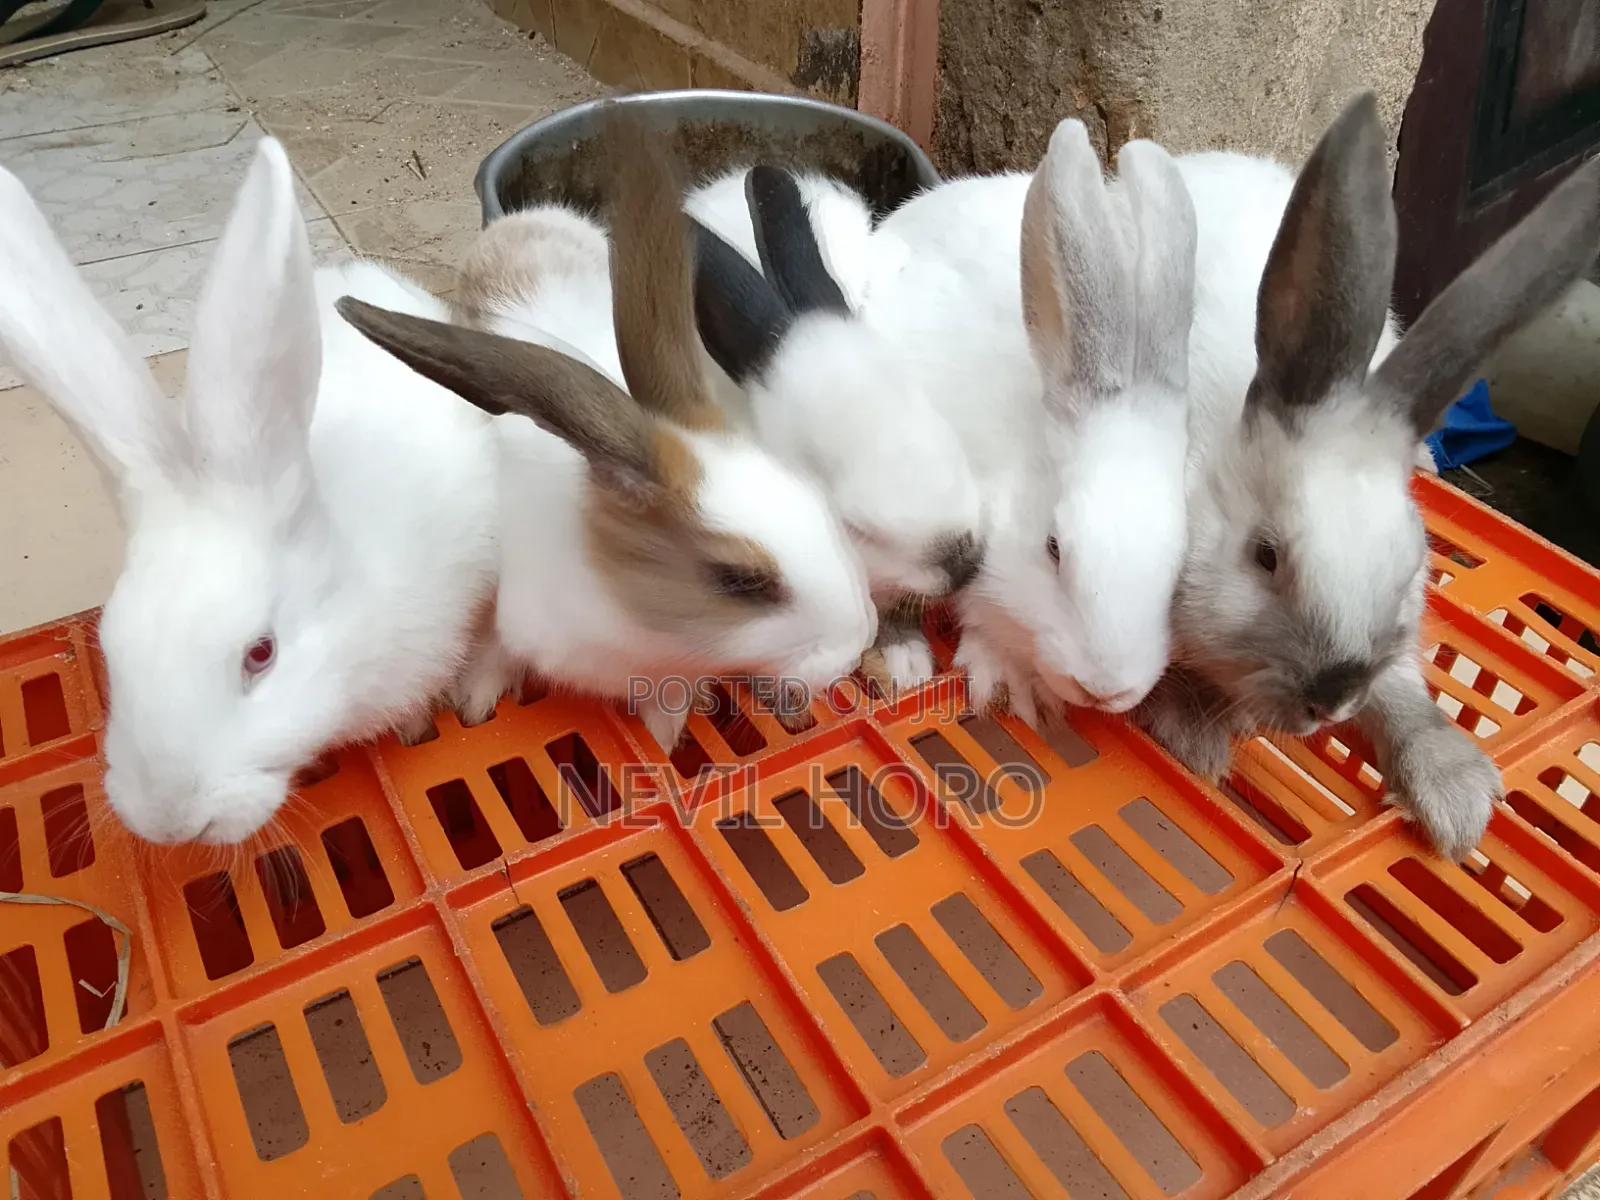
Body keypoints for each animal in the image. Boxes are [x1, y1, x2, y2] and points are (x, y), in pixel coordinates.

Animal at [336, 106, 878, 755]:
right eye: (742, 581)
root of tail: (528, 218)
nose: (854, 650)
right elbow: (493, 652)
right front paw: (475, 709)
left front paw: (667, 746)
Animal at [1135, 91, 1600, 860]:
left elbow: (1405, 696)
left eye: (1409, 571)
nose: (1332, 699)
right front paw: (1196, 734)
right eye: (1265, 557)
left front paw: (1456, 799)